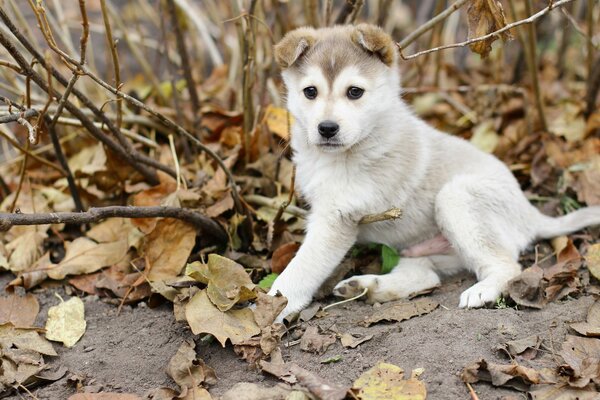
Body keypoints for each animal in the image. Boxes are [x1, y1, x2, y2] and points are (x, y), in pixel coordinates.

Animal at [268, 24, 600, 318]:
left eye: (354, 92)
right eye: (310, 92)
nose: (327, 128)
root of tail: (530, 212)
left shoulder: (336, 219)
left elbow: (301, 268)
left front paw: (275, 304)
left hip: (456, 198)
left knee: (507, 265)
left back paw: (482, 291)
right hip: (423, 250)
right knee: (425, 277)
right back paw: (367, 287)